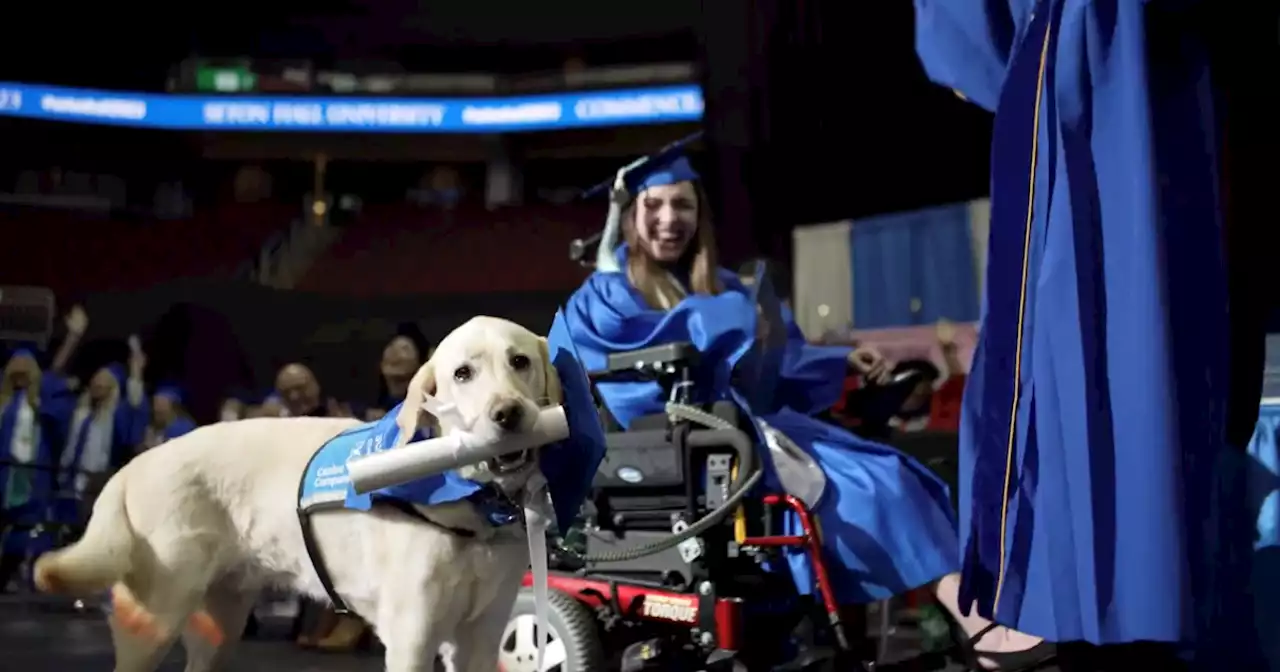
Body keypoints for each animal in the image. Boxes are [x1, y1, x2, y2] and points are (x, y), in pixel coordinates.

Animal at [30, 316, 558, 670]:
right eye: (462, 374)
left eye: (520, 361)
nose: (508, 414)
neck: (471, 505)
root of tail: (134, 464)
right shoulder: (412, 639)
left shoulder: (480, 639)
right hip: (154, 620)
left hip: (218, 625)